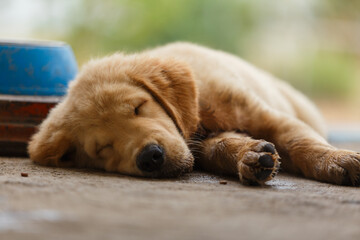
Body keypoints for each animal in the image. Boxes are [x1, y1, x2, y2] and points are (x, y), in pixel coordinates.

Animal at [28, 42, 360, 186]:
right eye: (102, 148)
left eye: (138, 107)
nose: (150, 157)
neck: (198, 114)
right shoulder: (202, 144)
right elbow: (221, 147)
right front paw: (250, 157)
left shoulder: (264, 115)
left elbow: (300, 140)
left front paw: (337, 160)